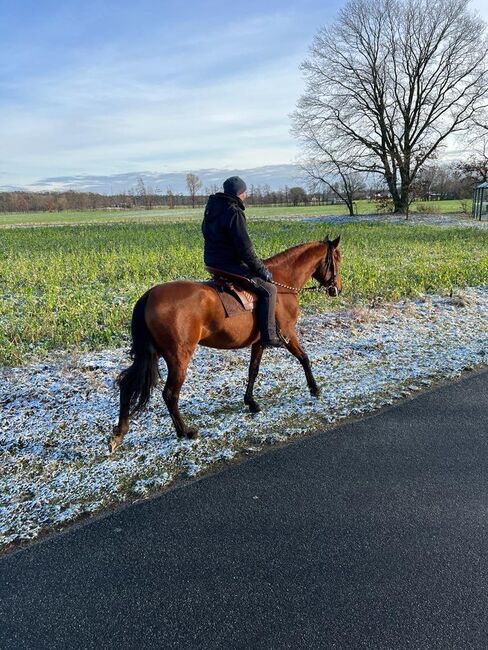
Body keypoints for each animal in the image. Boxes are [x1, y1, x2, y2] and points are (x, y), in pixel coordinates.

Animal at [109, 233, 342, 450]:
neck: (282, 282)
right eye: (338, 258)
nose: (337, 288)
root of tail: (148, 295)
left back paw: (120, 432)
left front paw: (251, 402)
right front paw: (314, 389)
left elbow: (253, 370)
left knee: (127, 385)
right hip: (178, 358)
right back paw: (185, 431)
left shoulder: (259, 342)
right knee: (169, 394)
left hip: (152, 354)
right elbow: (304, 358)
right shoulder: (287, 333)